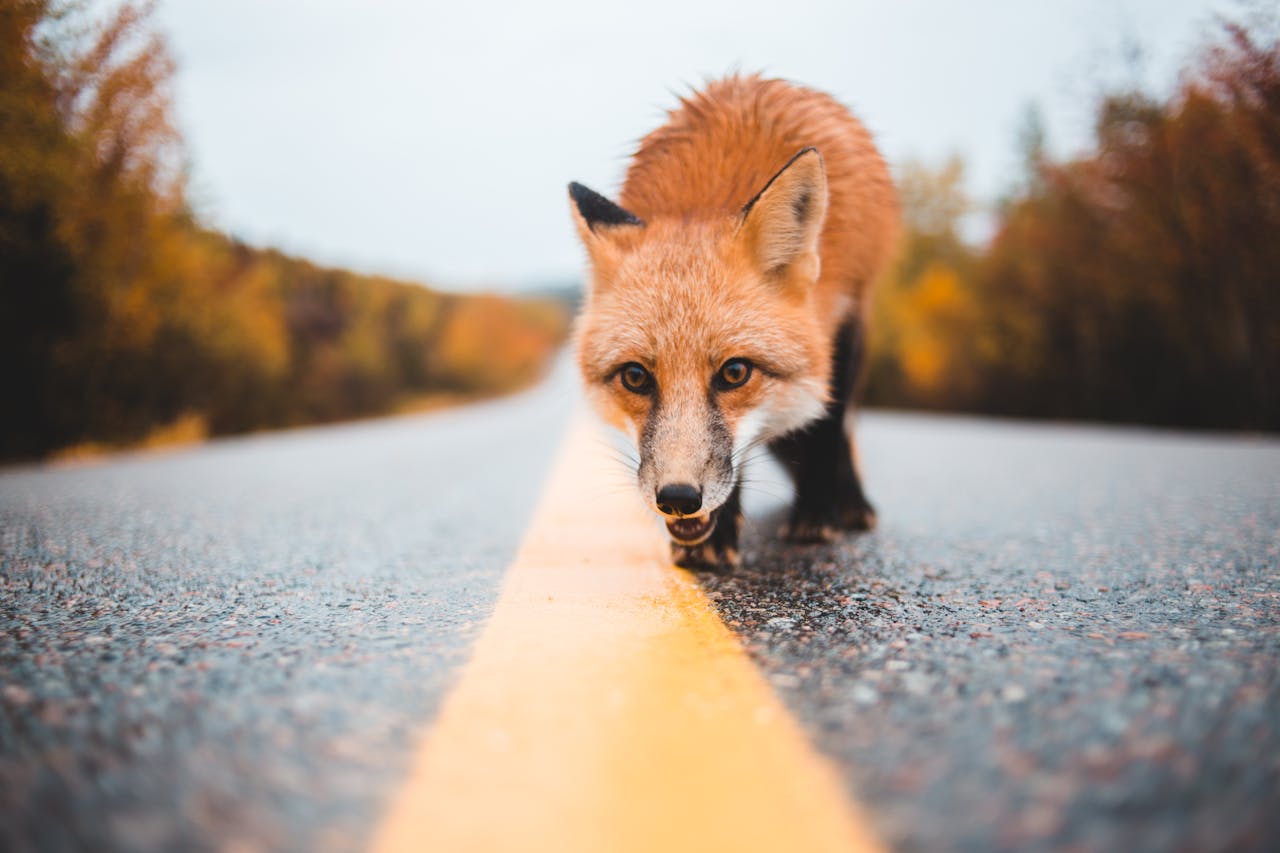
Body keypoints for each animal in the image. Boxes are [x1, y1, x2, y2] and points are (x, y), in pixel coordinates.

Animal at [568, 74, 899, 570]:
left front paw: (815, 516)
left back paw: (849, 504)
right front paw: (716, 537)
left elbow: (826, 429)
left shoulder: (842, 320)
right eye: (635, 377)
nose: (678, 499)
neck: (703, 196)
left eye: (735, 372)